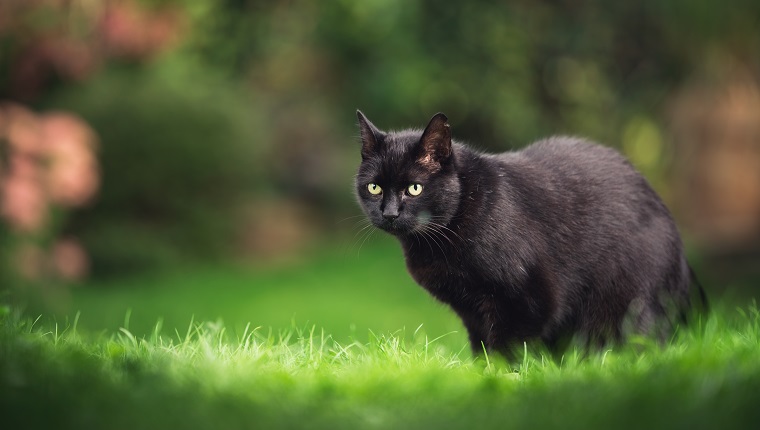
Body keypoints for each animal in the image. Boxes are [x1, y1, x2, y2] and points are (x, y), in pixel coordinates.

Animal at [354, 110, 704, 356]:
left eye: (414, 188)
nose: (389, 213)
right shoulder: (471, 312)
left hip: (628, 309)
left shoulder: (529, 299)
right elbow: (482, 349)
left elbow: (507, 349)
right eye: (374, 187)